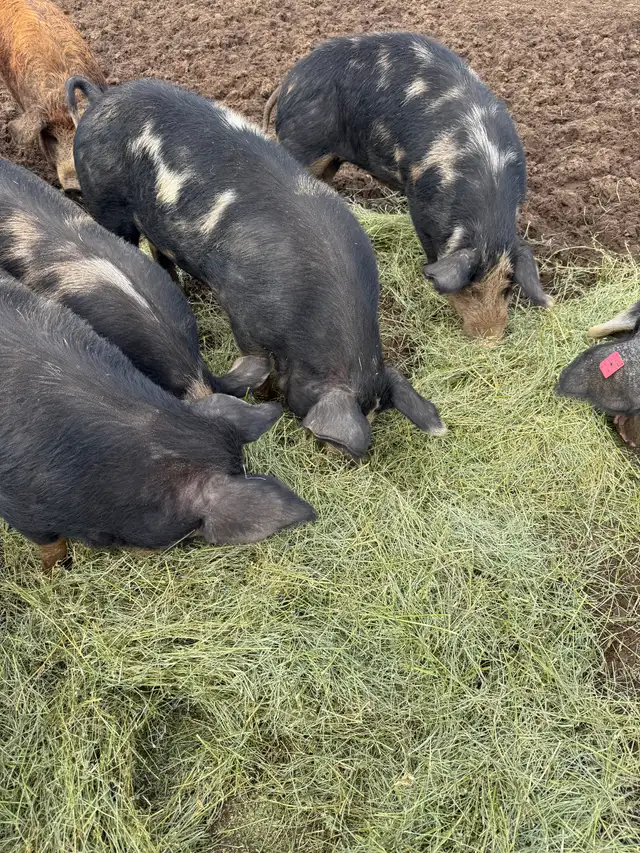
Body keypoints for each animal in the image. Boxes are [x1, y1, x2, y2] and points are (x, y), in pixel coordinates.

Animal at [67, 76, 447, 459]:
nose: (337, 455)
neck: (305, 312)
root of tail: (99, 101)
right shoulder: (242, 310)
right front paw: (266, 397)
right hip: (104, 199)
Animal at [263, 32, 552, 344]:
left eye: (506, 287)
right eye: (470, 287)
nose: (489, 341)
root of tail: (289, 81)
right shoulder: (421, 204)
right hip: (304, 145)